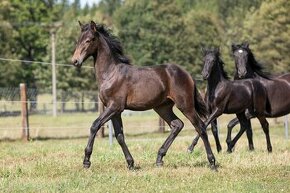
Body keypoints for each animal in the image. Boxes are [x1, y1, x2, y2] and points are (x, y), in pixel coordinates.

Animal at [70, 20, 215, 169]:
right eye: (78, 40)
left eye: (89, 40)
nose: (75, 61)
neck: (111, 74)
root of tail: (187, 75)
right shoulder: (115, 111)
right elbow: (120, 136)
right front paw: (130, 163)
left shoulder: (114, 107)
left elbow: (95, 125)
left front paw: (86, 161)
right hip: (162, 107)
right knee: (177, 124)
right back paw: (159, 158)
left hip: (185, 105)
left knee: (201, 127)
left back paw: (212, 162)